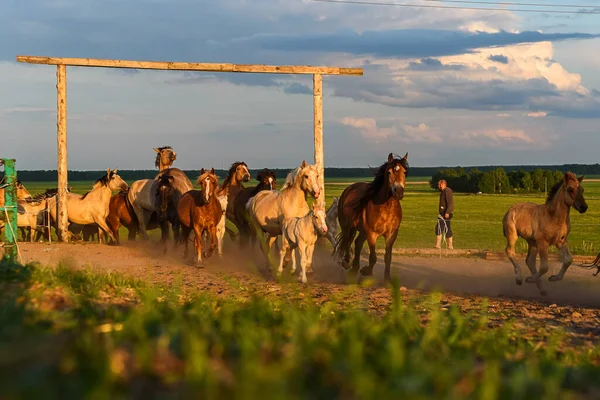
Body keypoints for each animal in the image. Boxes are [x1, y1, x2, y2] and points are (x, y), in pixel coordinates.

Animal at [332, 152, 408, 282]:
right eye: (389, 172)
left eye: (404, 172)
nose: (398, 191)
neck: (386, 208)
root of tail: (349, 189)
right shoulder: (372, 234)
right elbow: (373, 257)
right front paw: (366, 271)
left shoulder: (391, 235)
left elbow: (388, 257)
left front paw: (387, 279)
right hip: (347, 227)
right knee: (348, 241)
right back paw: (347, 263)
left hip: (363, 231)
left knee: (357, 243)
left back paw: (354, 269)